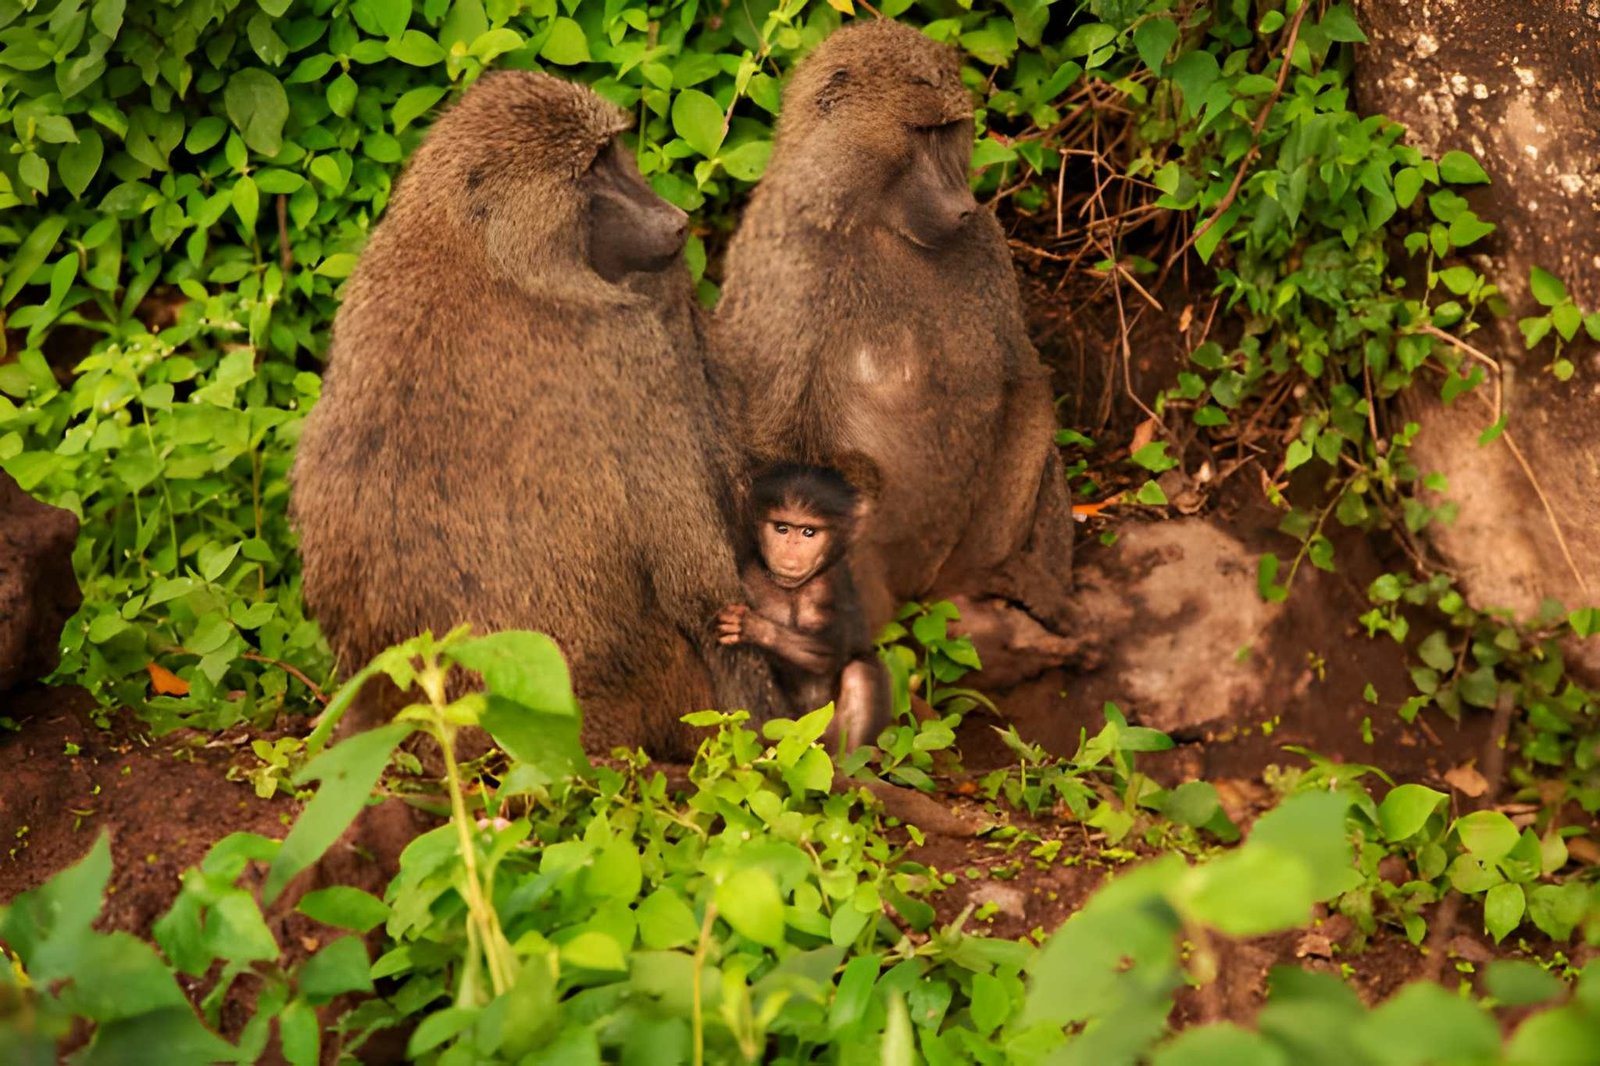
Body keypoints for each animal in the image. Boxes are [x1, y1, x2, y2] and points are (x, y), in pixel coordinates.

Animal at [290, 72, 779, 757]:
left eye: (611, 153)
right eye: (589, 172)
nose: (675, 222)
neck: (487, 252)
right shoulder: (629, 349)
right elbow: (701, 590)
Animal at [710, 20, 1083, 684]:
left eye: (950, 131)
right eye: (919, 132)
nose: (961, 203)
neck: (874, 216)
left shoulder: (986, 245)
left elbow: (1023, 388)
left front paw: (1004, 580)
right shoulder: (786, 248)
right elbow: (767, 436)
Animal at [716, 463, 891, 750]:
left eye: (809, 532)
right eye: (782, 528)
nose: (789, 559)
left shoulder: (832, 583)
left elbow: (830, 649)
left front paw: (752, 627)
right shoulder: (749, 573)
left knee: (861, 672)